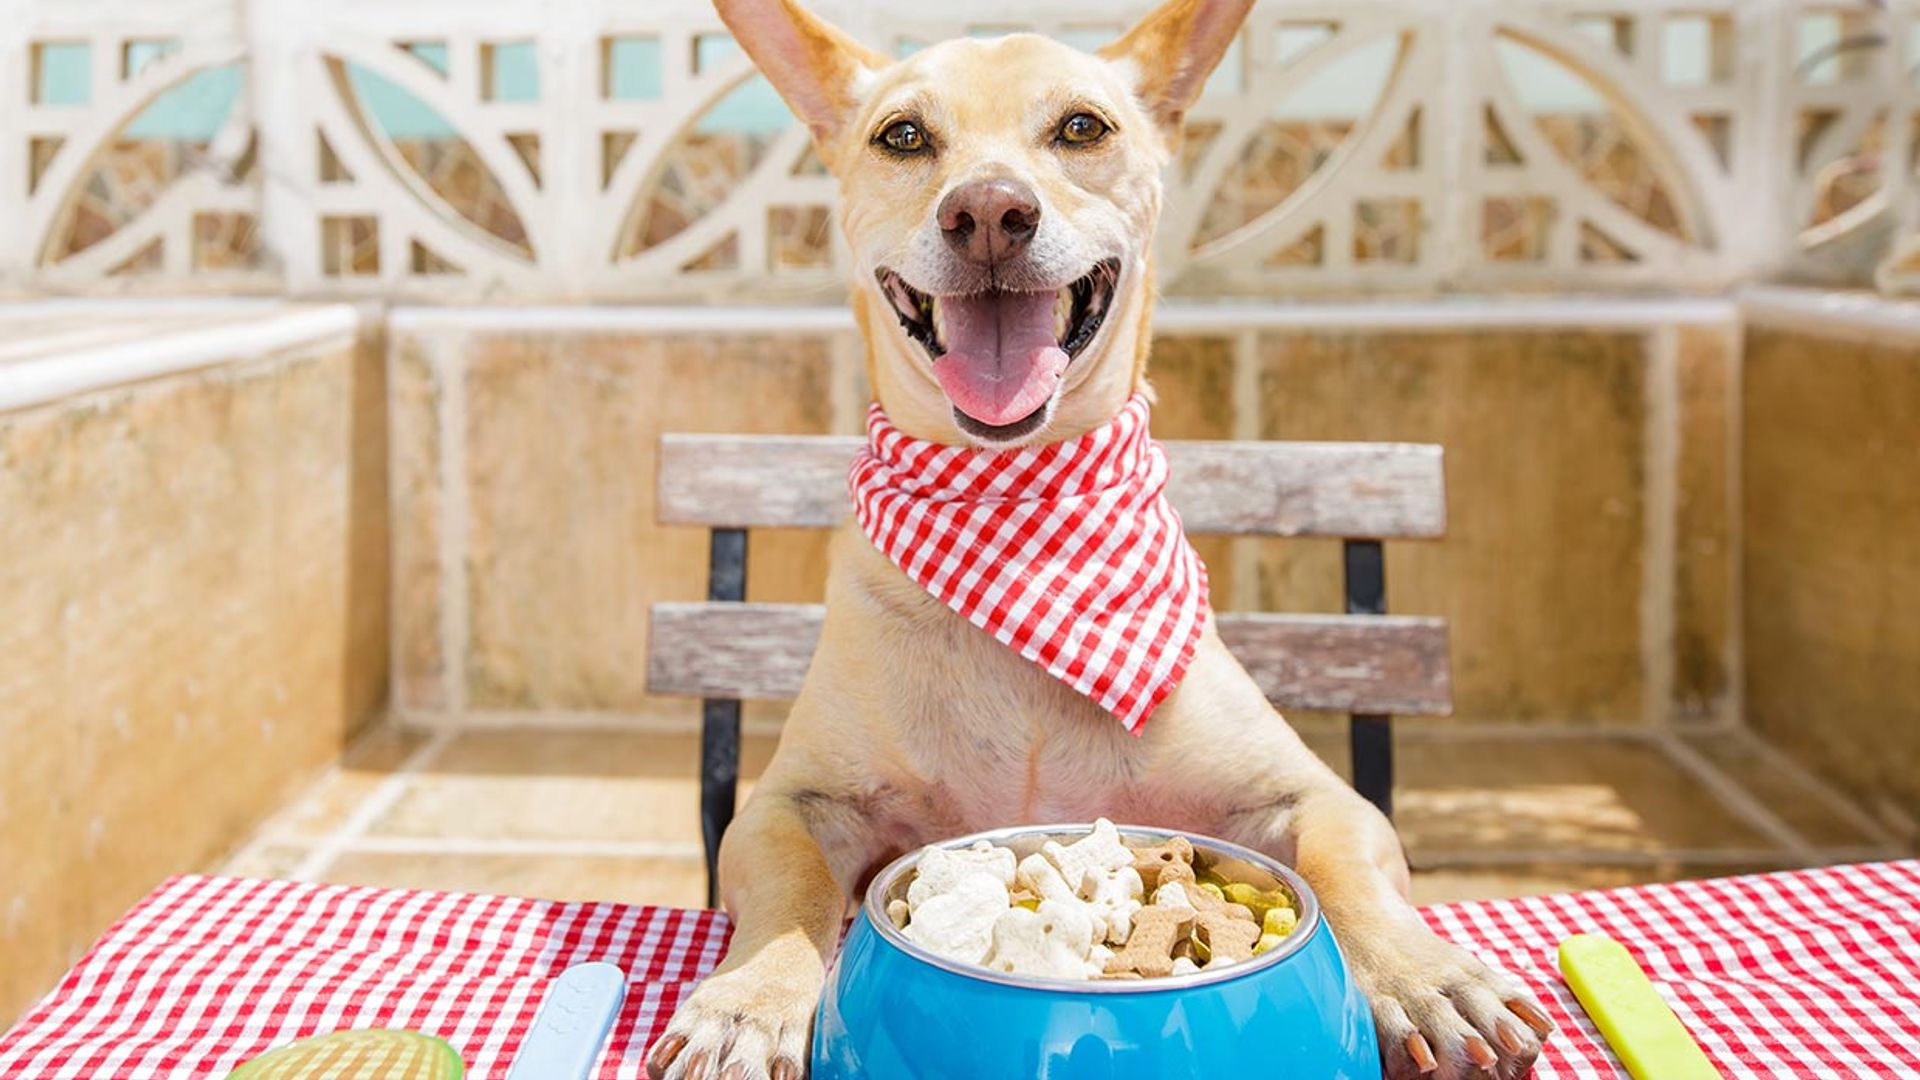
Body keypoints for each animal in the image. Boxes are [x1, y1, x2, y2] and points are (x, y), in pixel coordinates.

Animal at [652, 2, 1551, 1076]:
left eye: (1082, 127)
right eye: (903, 136)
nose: (987, 212)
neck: (1020, 518)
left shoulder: (1316, 797)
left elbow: (1345, 869)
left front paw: (1423, 975)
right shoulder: (788, 805)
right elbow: (792, 890)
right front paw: (750, 1000)